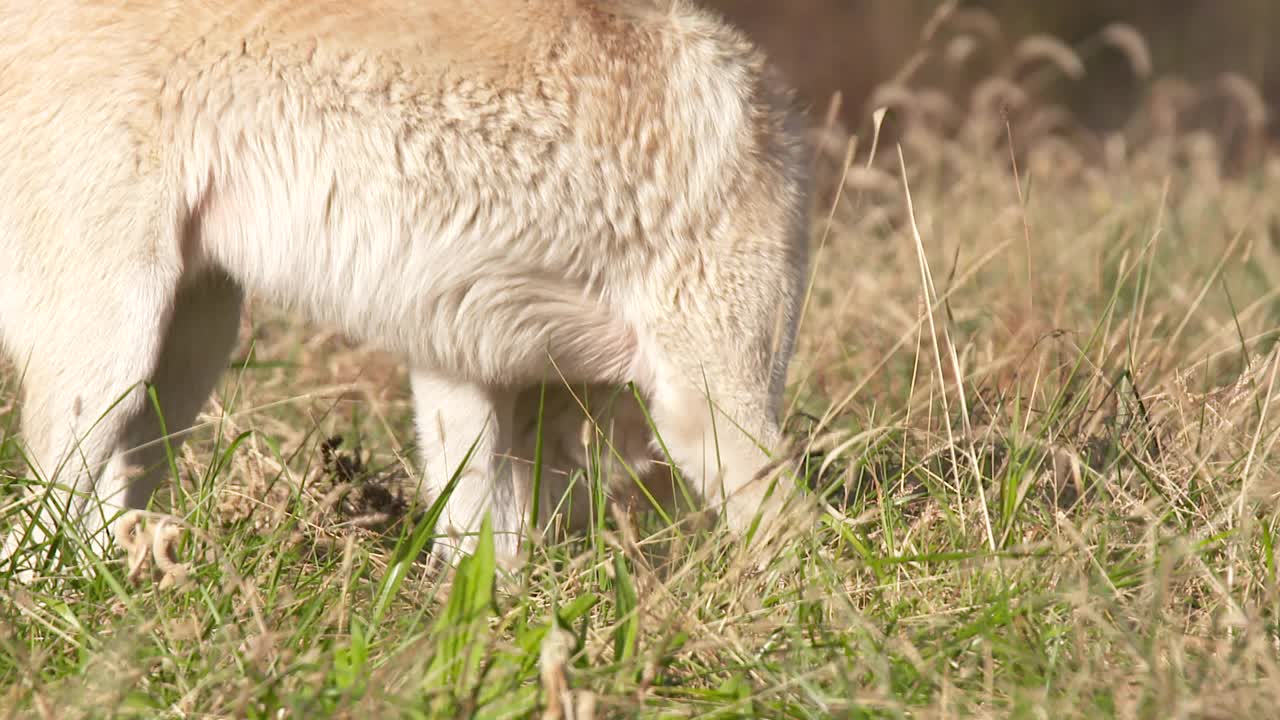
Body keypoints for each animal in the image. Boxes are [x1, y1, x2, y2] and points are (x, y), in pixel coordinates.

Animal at [0, 1, 808, 571]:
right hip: (111, 358)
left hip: (186, 356)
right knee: (33, 542)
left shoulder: (471, 377)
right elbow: (799, 559)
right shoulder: (710, 406)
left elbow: (486, 569)